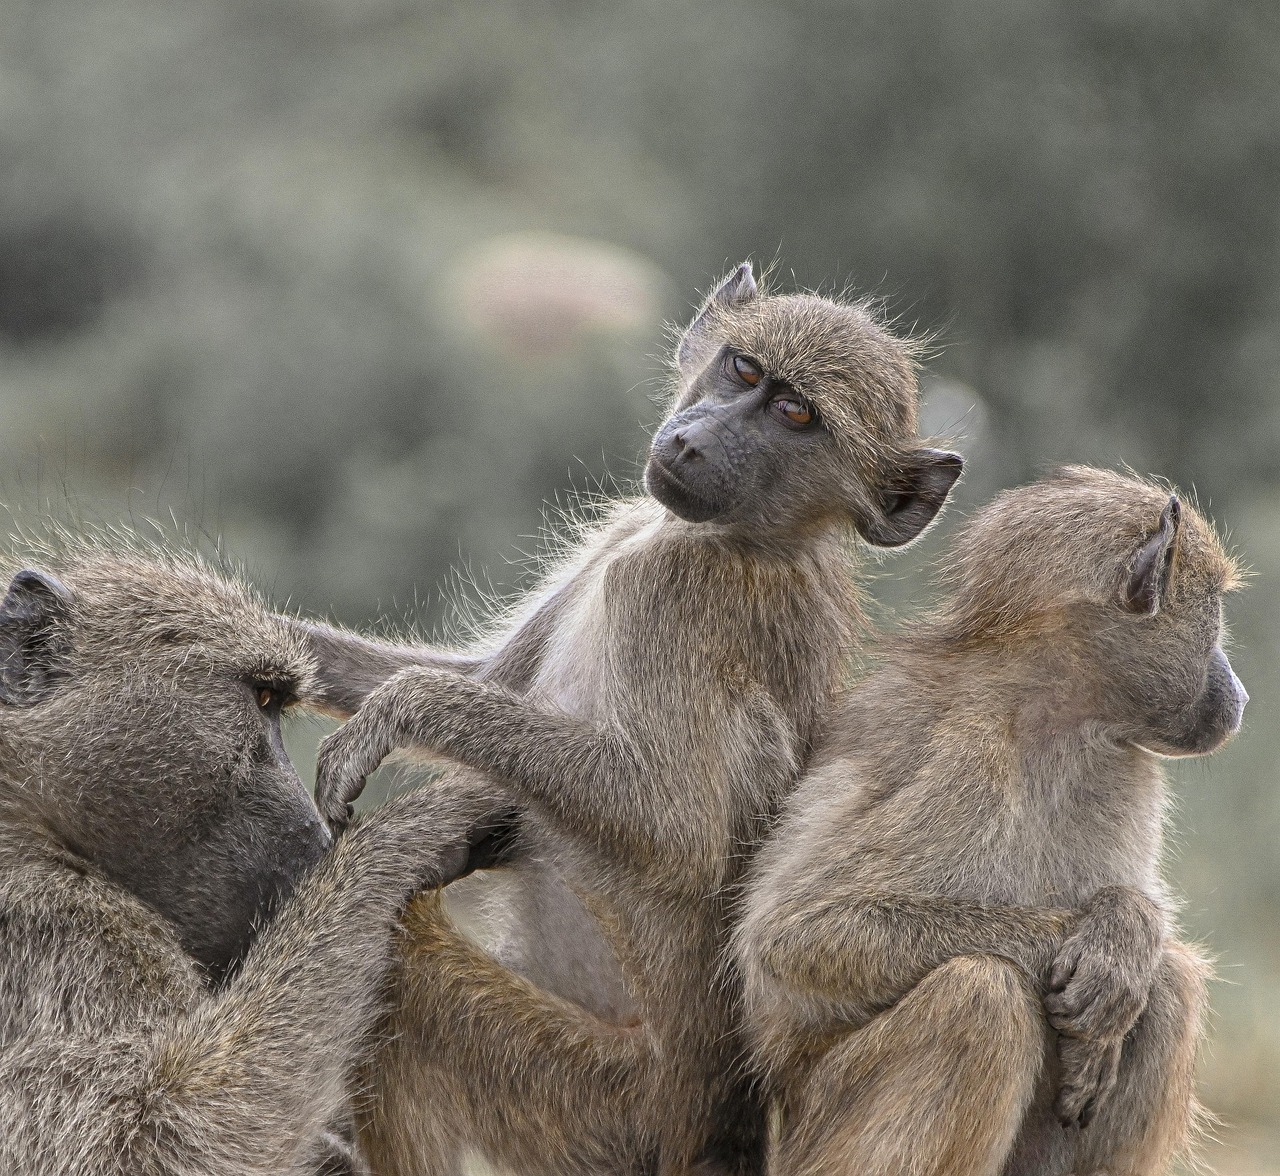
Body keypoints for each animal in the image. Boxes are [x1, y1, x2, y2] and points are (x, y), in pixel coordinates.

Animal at [0, 538, 505, 1176]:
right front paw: (420, 824)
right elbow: (150, 1143)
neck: (27, 814)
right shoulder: (56, 928)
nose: (317, 841)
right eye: (262, 699)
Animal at [303, 262, 964, 1175]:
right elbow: (487, 678)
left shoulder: (671, 592)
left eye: (798, 416)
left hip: (595, 1106)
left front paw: (400, 711)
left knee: (405, 958)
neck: (756, 538)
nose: (693, 441)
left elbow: (671, 829)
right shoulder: (623, 530)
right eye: (744, 370)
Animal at [734, 466, 1246, 1176]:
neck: (1052, 714)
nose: (1241, 695)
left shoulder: (1128, 767)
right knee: (979, 998)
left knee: (1169, 989)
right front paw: (1082, 946)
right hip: (814, 1133)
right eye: (1215, 610)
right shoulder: (961, 757)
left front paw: (1126, 933)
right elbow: (793, 934)